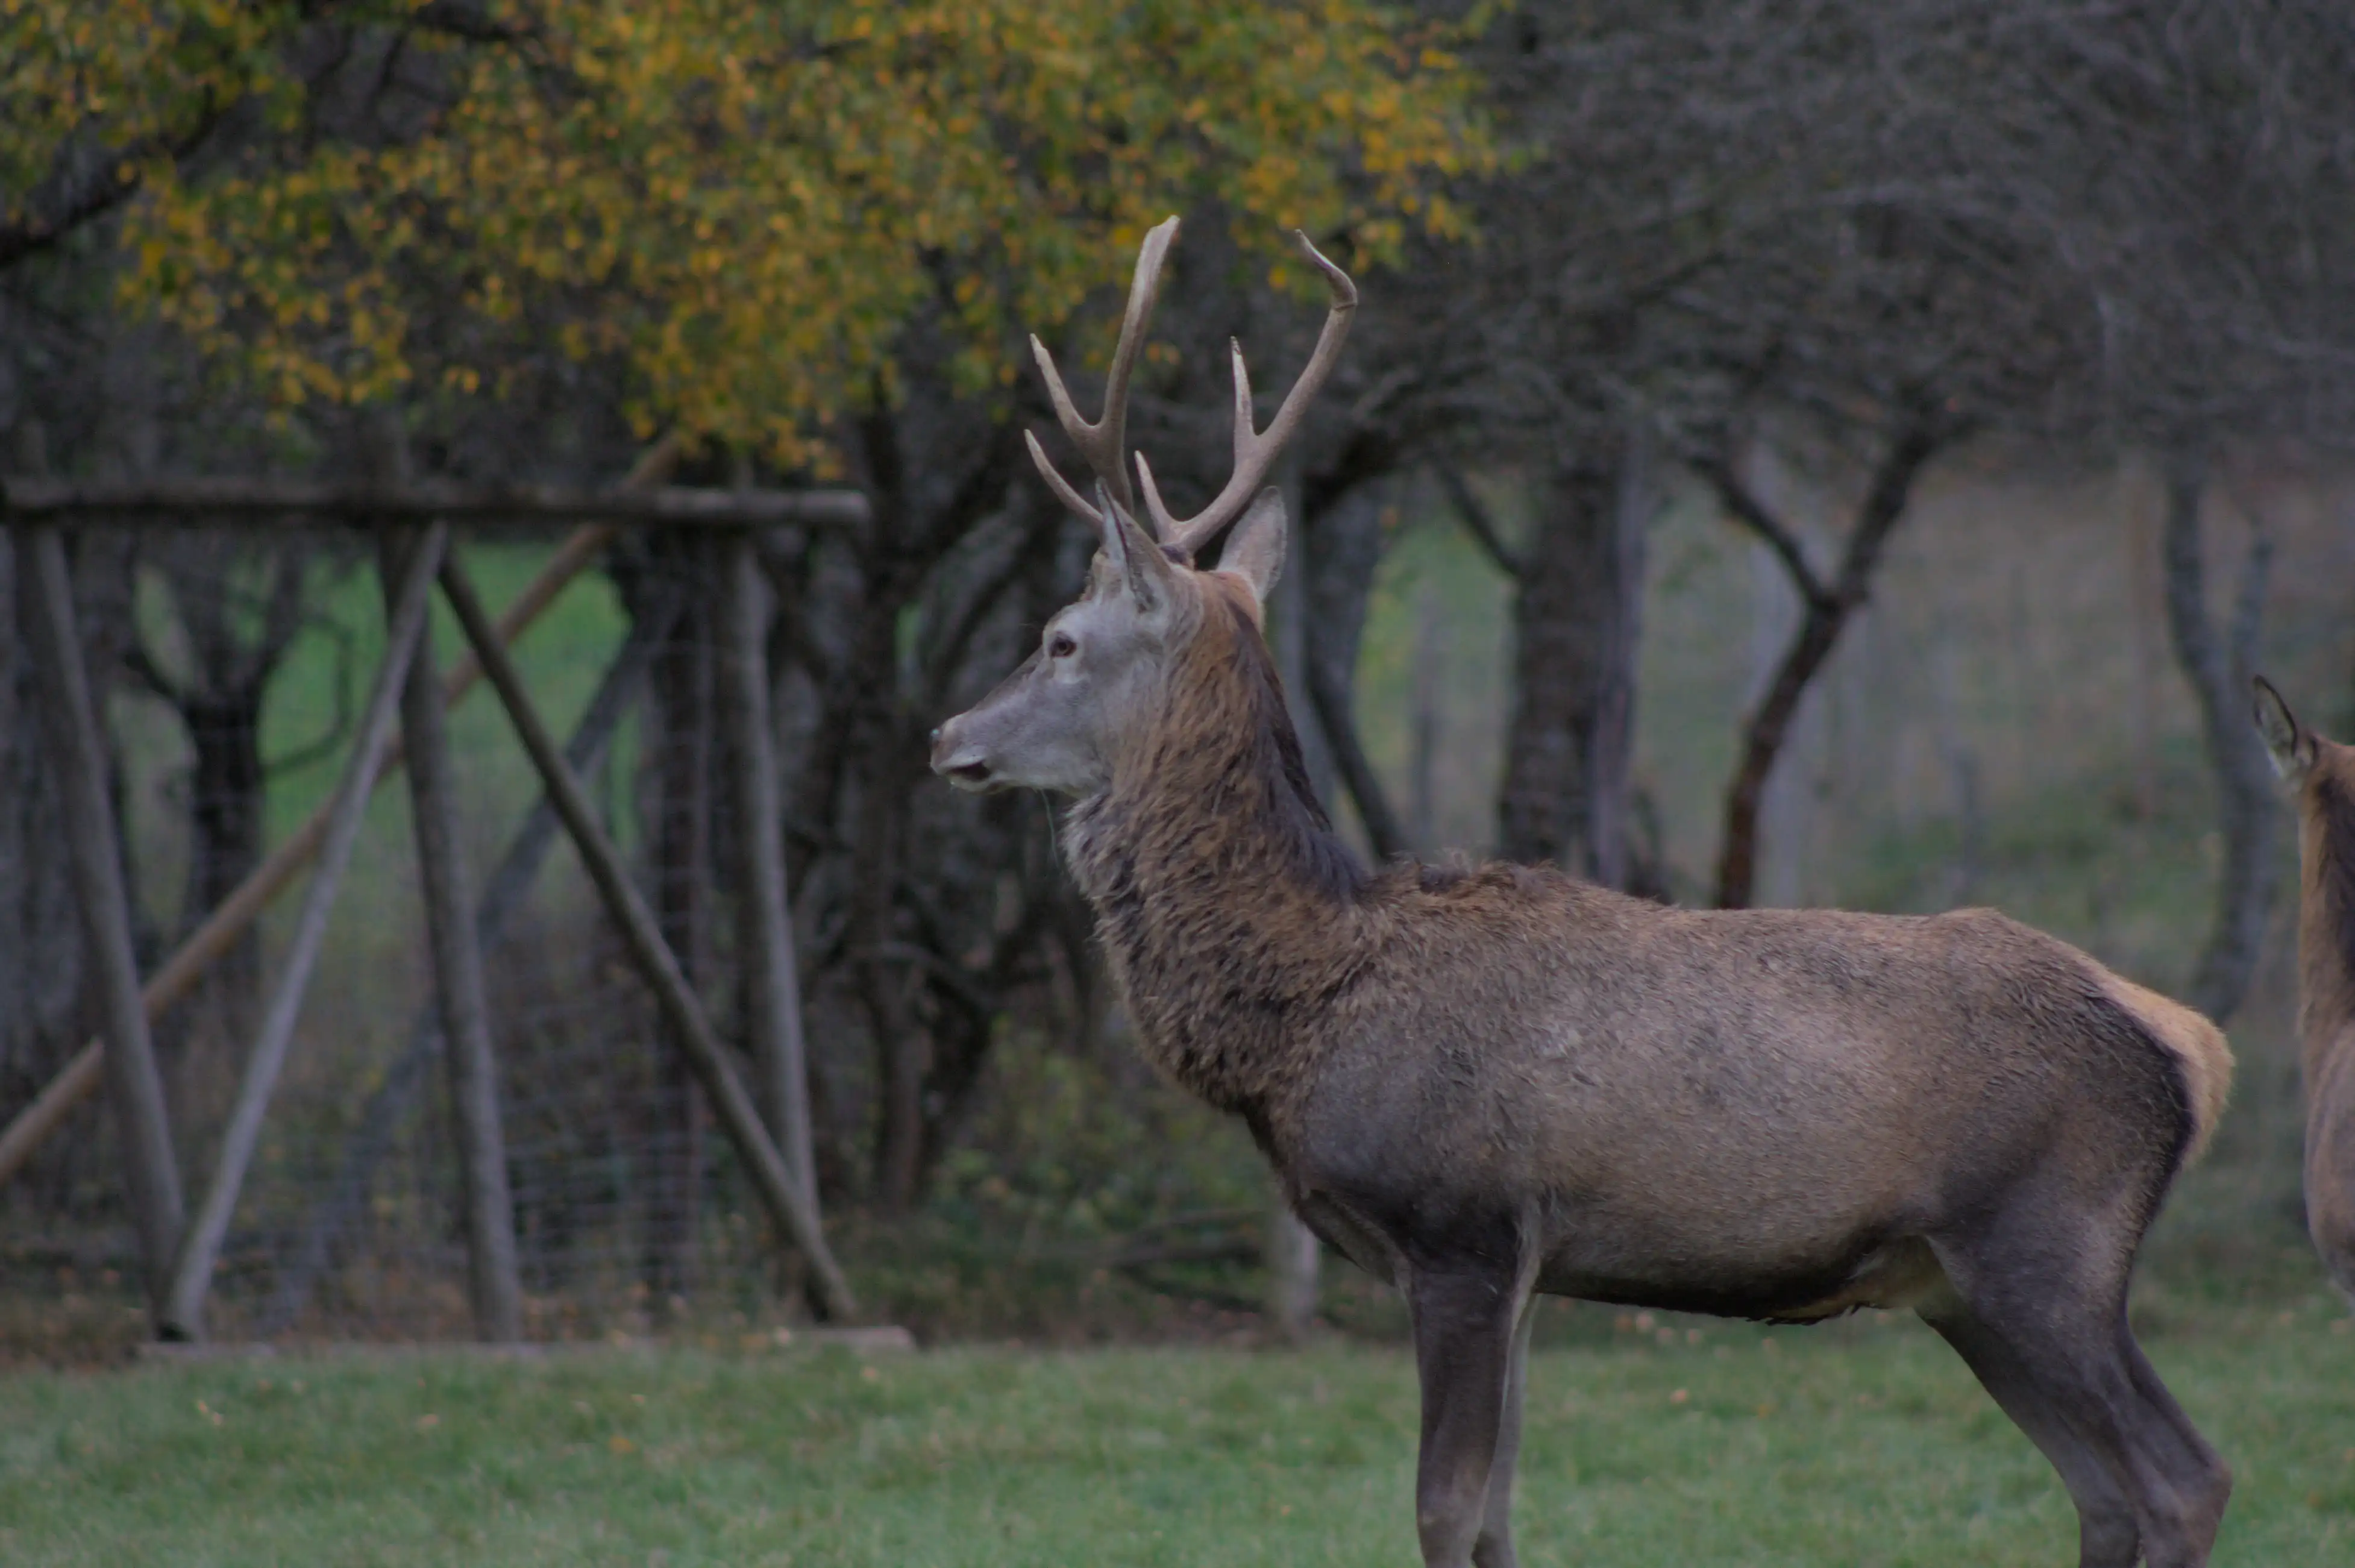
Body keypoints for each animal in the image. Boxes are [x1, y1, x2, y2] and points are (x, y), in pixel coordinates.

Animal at [932, 216, 2237, 1568]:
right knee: (2106, 1492)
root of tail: (2191, 1048)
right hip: (1962, 1284)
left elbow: (1445, 1508)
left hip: (2045, 1248)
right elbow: (1499, 1514)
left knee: (2180, 1476)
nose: (943, 733)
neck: (1306, 1004)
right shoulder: (1521, 1264)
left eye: (1061, 637)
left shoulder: (1461, 1226)